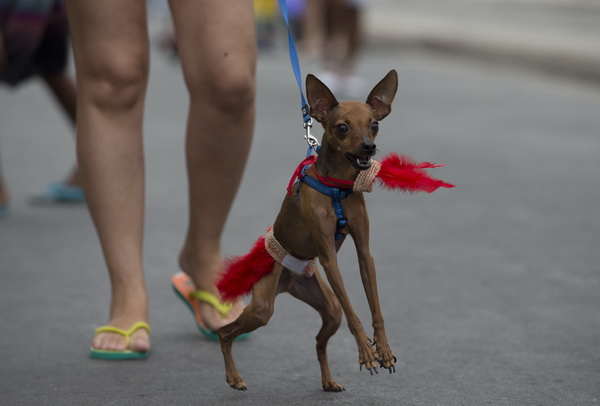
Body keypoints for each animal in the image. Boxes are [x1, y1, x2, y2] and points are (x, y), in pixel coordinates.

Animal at [217, 69, 398, 390]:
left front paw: (384, 349)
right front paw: (366, 351)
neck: (337, 188)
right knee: (225, 333)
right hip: (263, 307)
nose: (369, 147)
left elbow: (374, 307)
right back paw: (234, 377)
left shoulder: (365, 254)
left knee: (318, 341)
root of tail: (289, 280)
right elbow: (354, 314)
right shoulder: (328, 259)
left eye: (374, 125)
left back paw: (328, 381)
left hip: (327, 306)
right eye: (342, 127)